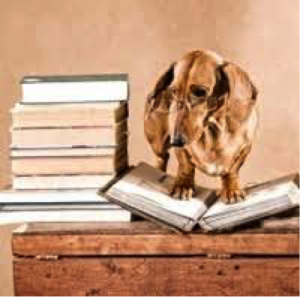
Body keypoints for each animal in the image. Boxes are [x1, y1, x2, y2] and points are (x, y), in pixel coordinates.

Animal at [144, 51, 258, 204]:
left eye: (200, 92)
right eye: (174, 91)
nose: (176, 141)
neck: (214, 131)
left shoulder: (245, 148)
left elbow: (232, 170)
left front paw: (231, 189)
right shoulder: (182, 150)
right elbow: (186, 166)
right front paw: (183, 186)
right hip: (158, 144)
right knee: (162, 158)